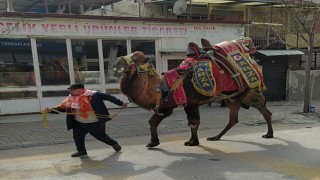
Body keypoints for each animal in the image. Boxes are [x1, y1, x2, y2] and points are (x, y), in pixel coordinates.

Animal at [112, 37, 272, 148]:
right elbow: (153, 122)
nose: (117, 62)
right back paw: (215, 137)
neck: (163, 87)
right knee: (234, 119)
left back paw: (269, 134)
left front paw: (192, 142)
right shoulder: (167, 106)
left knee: (264, 110)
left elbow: (193, 123)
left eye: (135, 58)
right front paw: (152, 143)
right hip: (233, 98)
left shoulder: (191, 103)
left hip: (251, 92)